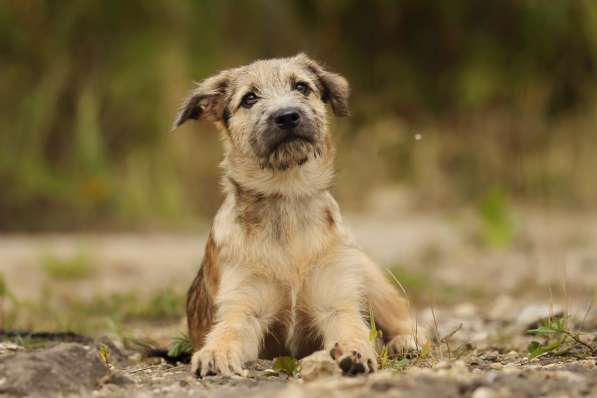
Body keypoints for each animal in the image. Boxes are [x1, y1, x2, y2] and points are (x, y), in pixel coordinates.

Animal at [172, 53, 414, 376]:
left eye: (301, 87)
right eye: (249, 98)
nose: (287, 116)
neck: (286, 196)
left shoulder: (336, 303)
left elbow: (353, 329)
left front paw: (354, 351)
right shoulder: (245, 306)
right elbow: (229, 331)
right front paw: (215, 352)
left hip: (367, 276)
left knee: (400, 318)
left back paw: (405, 342)